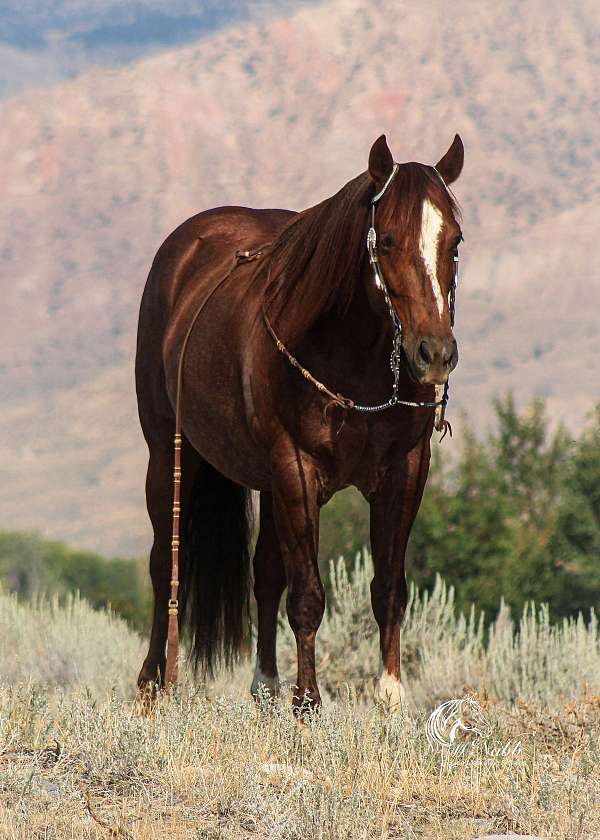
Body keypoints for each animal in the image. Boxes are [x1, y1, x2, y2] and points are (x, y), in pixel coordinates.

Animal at [136, 135, 464, 712]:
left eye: (455, 241)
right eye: (389, 240)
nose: (434, 353)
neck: (352, 359)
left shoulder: (405, 472)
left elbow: (388, 588)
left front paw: (391, 698)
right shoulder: (296, 468)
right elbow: (308, 593)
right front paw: (308, 702)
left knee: (266, 572)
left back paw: (265, 686)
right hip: (169, 456)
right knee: (163, 567)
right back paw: (153, 682)